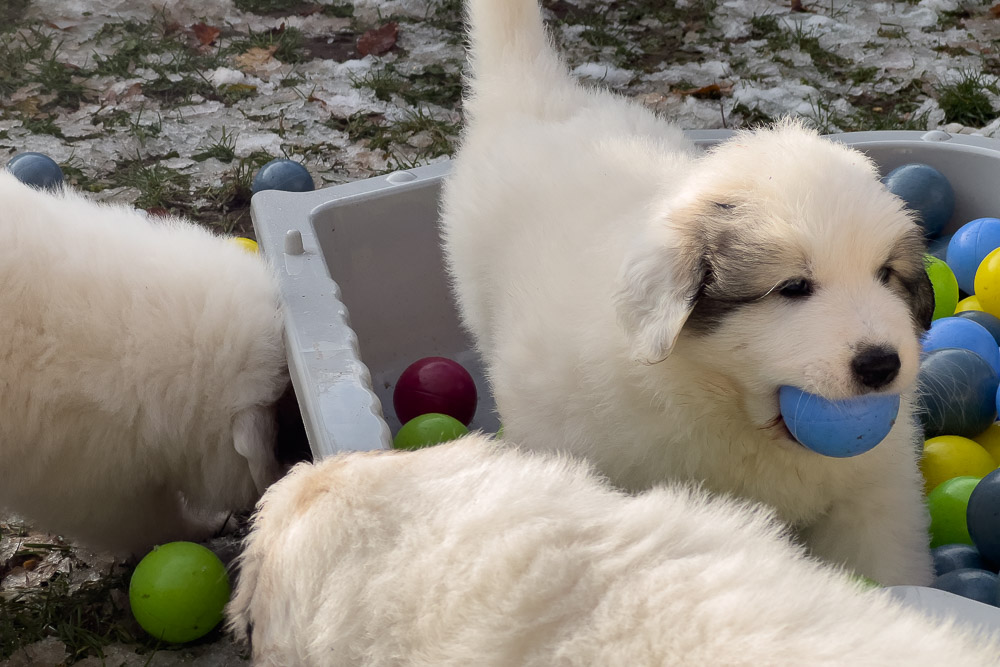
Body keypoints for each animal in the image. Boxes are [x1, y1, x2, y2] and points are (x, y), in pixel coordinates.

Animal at [440, 0, 936, 584]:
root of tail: (539, 97)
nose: (881, 365)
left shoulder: (873, 495)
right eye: (792, 287)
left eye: (886, 275)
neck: (724, 407)